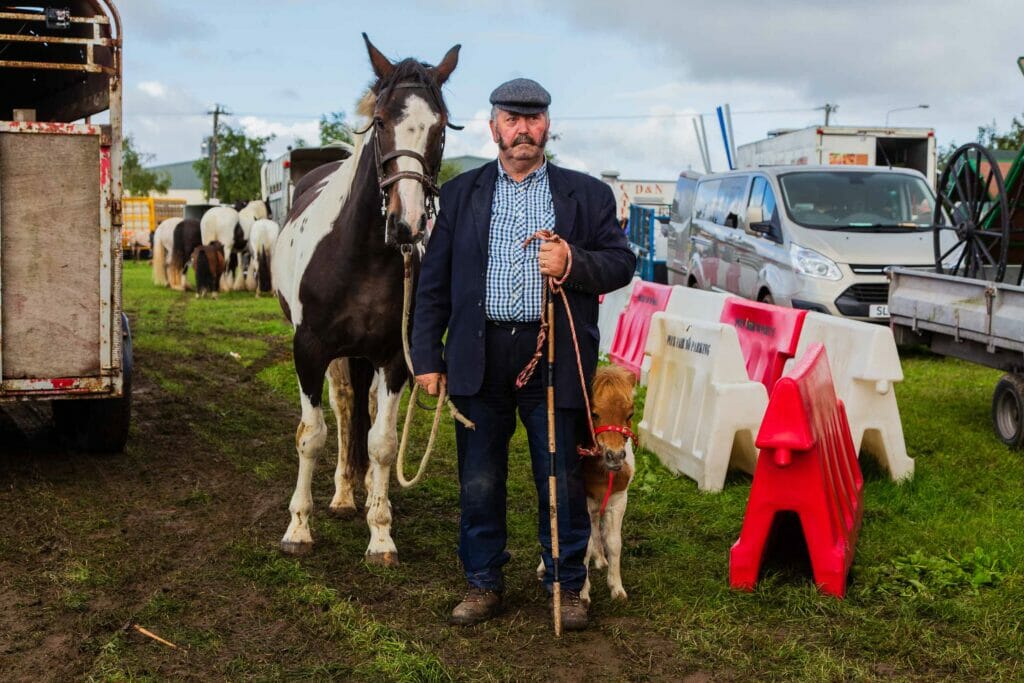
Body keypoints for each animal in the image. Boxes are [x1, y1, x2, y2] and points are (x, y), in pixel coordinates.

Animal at [274, 34, 462, 565]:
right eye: (381, 121)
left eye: (440, 127)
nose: (406, 223)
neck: (361, 256)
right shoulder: (309, 350)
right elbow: (311, 436)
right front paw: (298, 528)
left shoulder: (395, 358)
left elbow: (381, 442)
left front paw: (381, 533)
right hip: (337, 358)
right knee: (342, 409)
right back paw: (340, 495)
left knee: (366, 413)